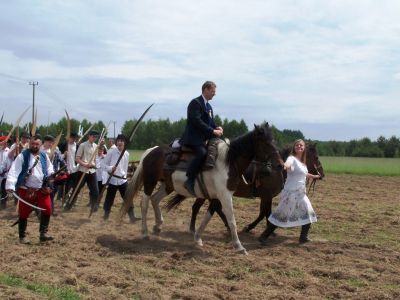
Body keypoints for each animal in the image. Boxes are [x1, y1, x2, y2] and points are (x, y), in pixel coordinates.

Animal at [120, 123, 282, 254]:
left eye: (274, 141)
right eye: (266, 143)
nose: (280, 165)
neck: (228, 163)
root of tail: (151, 151)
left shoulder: (217, 197)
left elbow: (208, 217)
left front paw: (197, 238)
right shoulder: (225, 196)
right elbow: (231, 221)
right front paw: (239, 246)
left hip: (168, 185)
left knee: (155, 199)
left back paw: (158, 225)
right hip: (150, 181)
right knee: (145, 203)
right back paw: (145, 232)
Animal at [184, 143, 324, 234]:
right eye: (316, 157)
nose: (322, 174)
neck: (275, 169)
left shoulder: (265, 197)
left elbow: (264, 213)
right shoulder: (267, 196)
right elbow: (265, 213)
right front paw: (255, 228)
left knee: (211, 208)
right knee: (198, 207)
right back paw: (193, 229)